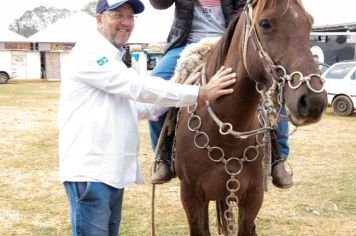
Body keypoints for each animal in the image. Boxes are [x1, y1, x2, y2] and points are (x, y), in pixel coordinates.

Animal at [173, 0, 328, 235]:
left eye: (309, 22)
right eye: (265, 24)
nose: (313, 101)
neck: (225, 134)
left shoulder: (254, 196)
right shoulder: (190, 196)